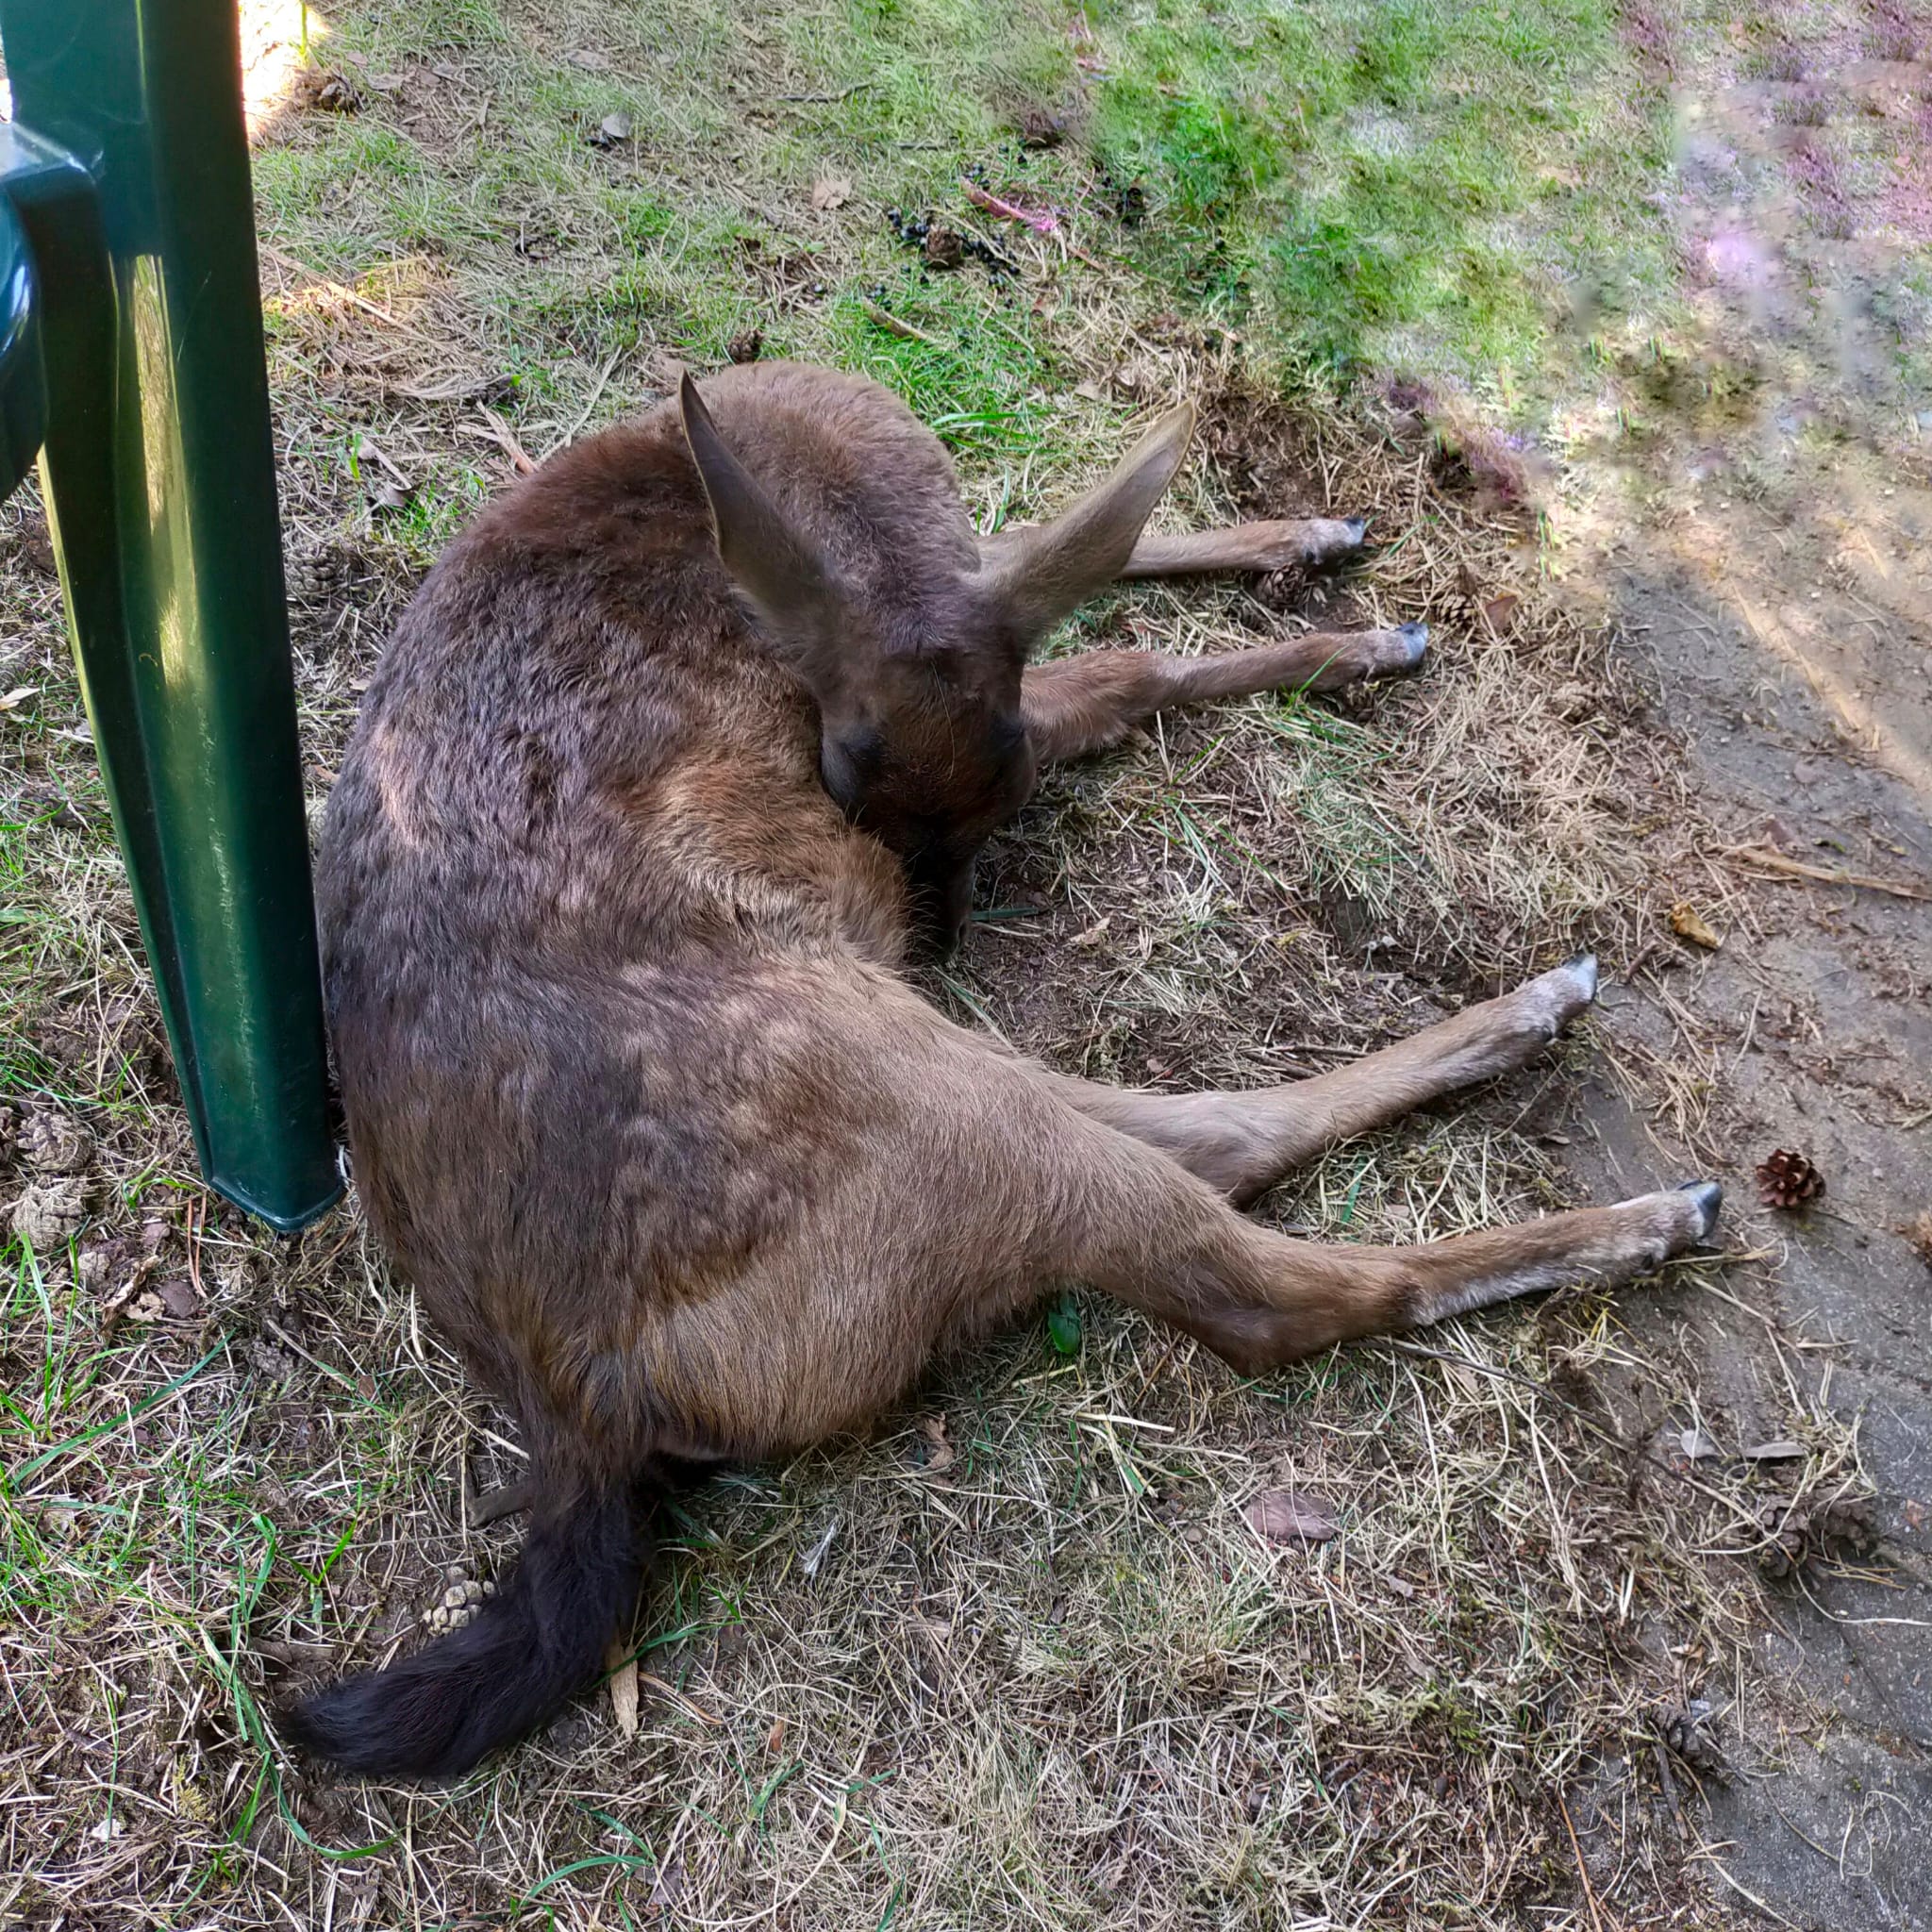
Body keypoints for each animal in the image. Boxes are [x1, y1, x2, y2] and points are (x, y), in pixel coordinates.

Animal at [282, 363, 1723, 1777]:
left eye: (998, 792)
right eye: (840, 772)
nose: (930, 928)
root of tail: (578, 1408)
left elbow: (1085, 550)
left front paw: (1319, 545)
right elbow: (1133, 655)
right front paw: (1357, 635)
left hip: (925, 1067)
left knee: (1218, 1132)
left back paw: (1529, 1017)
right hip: (924, 1100)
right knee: (1271, 1292)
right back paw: (1641, 1206)